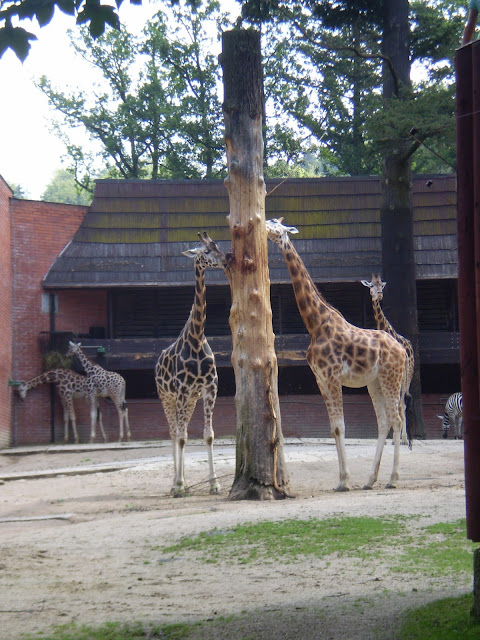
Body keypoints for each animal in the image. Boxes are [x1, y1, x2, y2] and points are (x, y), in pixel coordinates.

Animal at [156, 232, 227, 498]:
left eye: (218, 246)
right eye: (205, 251)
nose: (226, 259)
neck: (196, 337)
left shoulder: (209, 389)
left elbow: (208, 435)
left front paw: (214, 484)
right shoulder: (182, 391)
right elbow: (181, 437)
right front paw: (177, 485)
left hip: (189, 400)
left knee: (181, 430)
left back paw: (185, 481)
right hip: (168, 397)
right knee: (174, 433)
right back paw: (176, 483)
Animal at [264, 218, 406, 492]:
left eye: (275, 224)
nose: (264, 228)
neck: (315, 324)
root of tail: (403, 350)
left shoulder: (332, 377)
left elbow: (341, 427)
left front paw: (345, 480)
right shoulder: (320, 379)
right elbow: (333, 429)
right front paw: (342, 480)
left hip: (391, 377)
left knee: (396, 419)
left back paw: (393, 479)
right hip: (374, 382)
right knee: (384, 421)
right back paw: (370, 480)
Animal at [362, 272, 414, 448]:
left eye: (381, 286)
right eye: (371, 285)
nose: (379, 295)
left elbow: (398, 406)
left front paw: (400, 438)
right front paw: (386, 438)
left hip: (406, 378)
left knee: (402, 404)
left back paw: (404, 438)